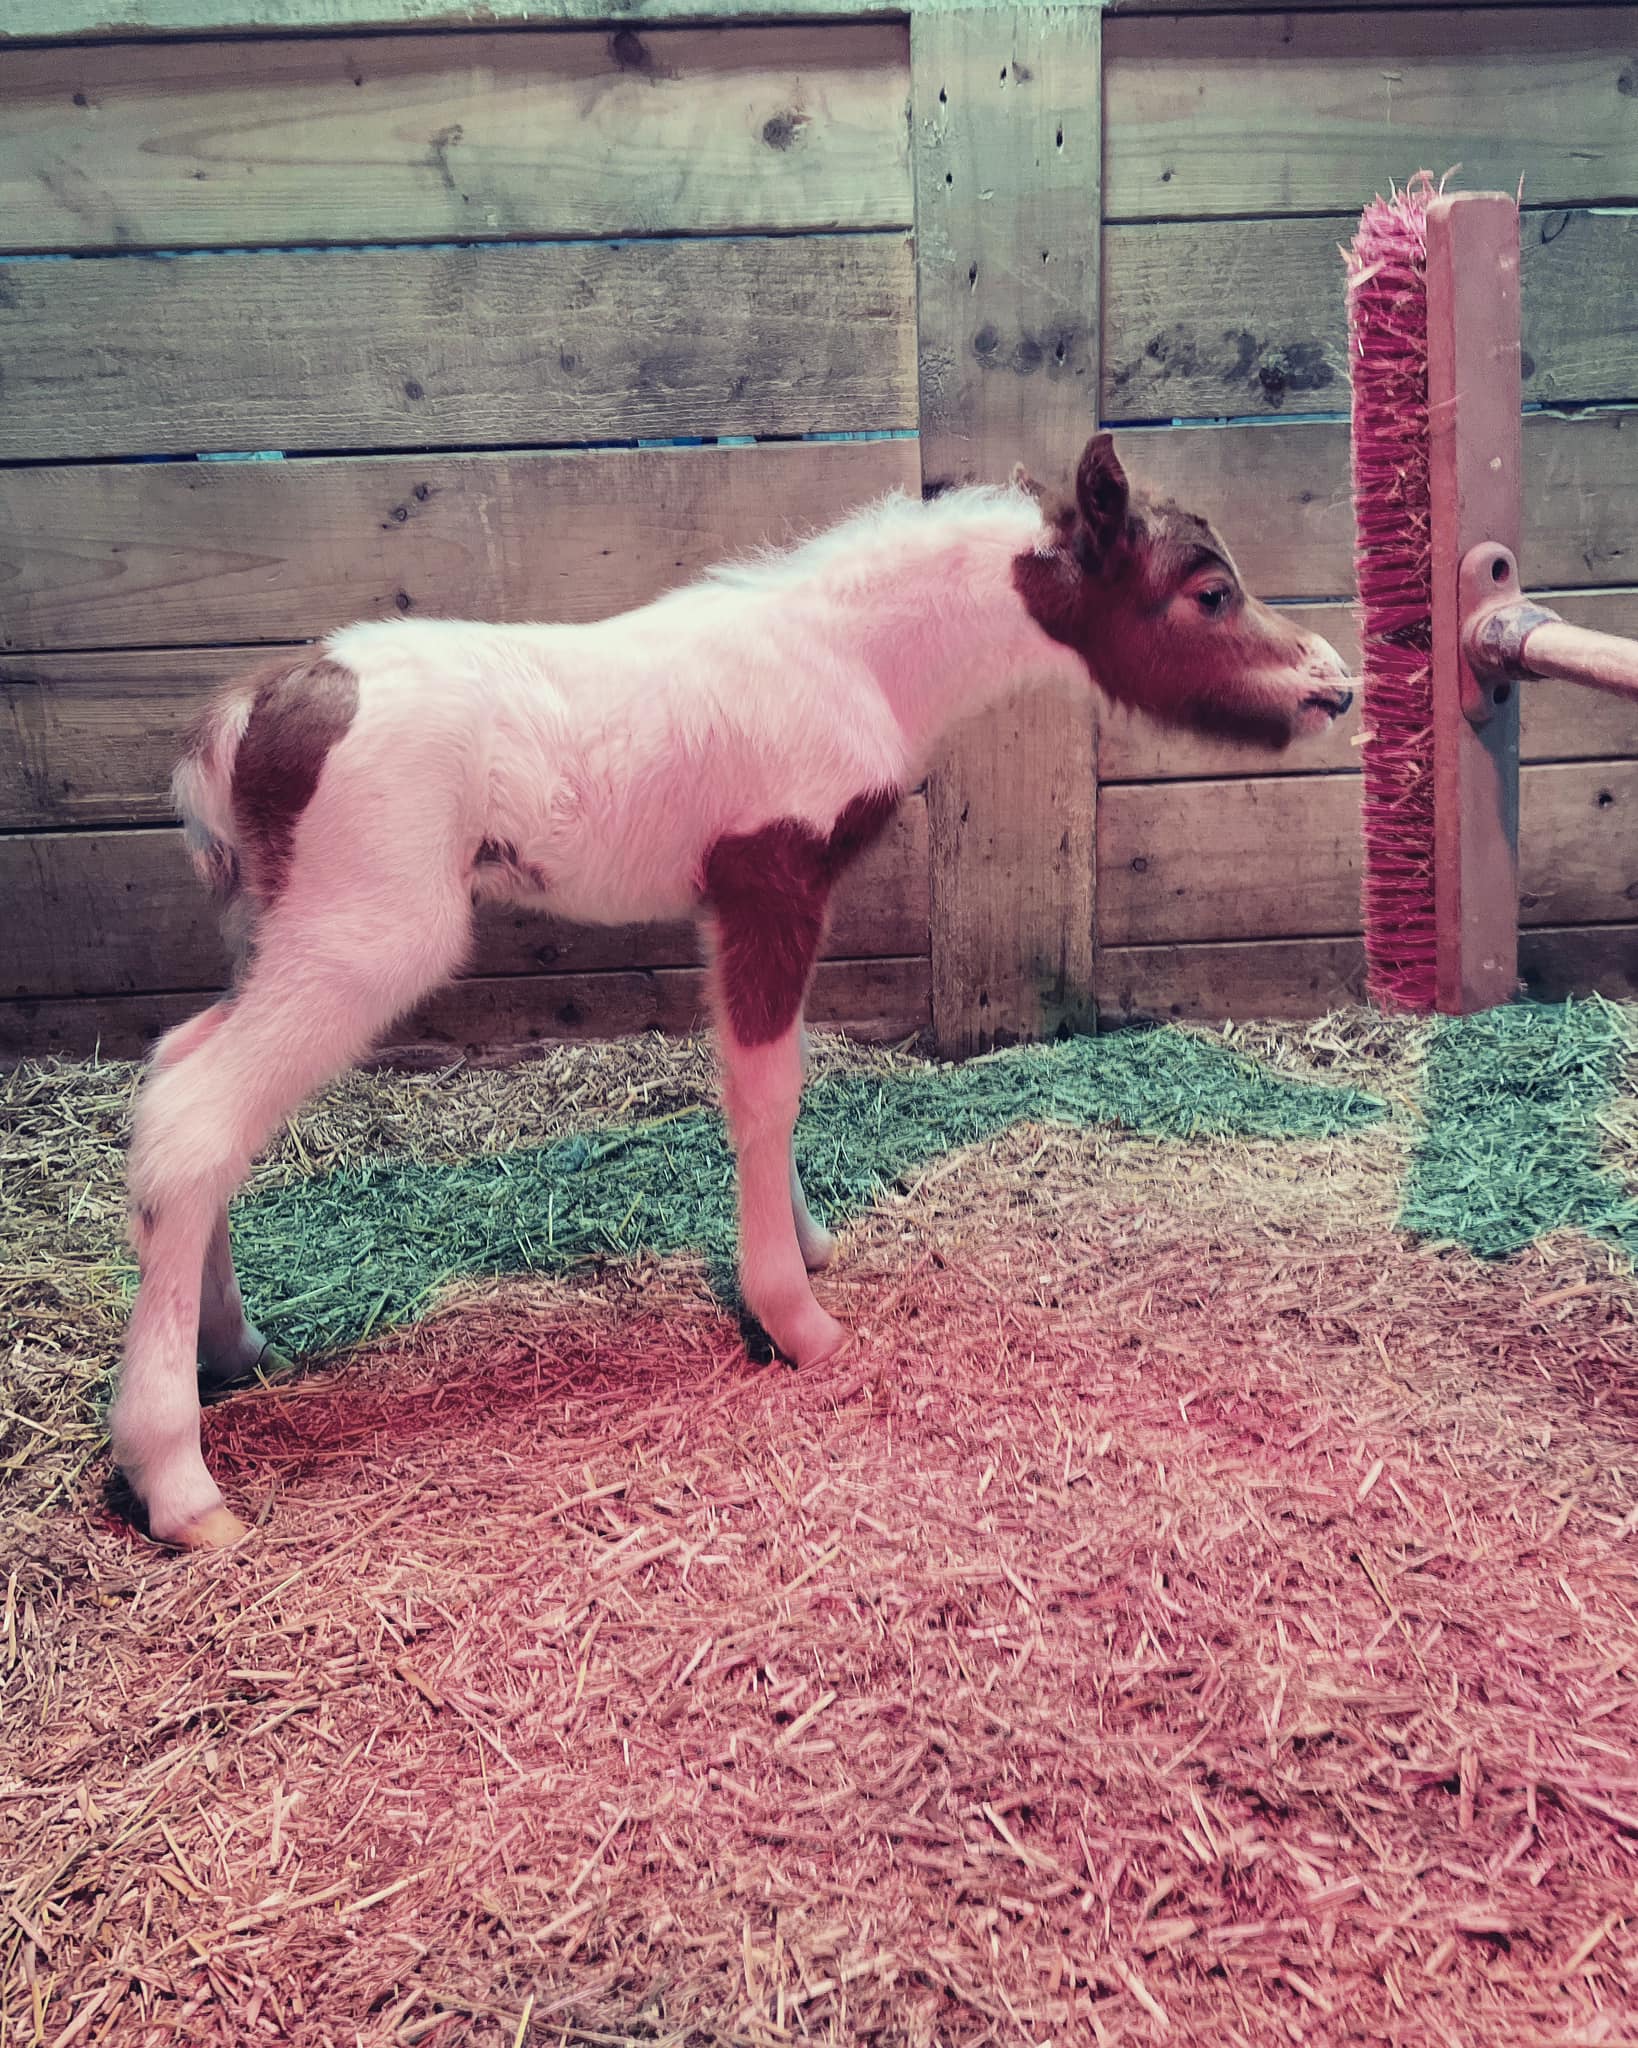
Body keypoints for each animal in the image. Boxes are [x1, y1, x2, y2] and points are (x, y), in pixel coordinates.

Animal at [111, 433, 1353, 1548]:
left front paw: (804, 1244)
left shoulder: (734, 903)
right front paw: (796, 1318)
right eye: (1209, 591)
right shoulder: (772, 880)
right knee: (196, 1117)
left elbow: (764, 1080)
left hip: (281, 932)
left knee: (181, 1072)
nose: (1333, 687)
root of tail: (245, 712)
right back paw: (179, 1481)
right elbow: (768, 1088)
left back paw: (229, 1347)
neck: (850, 654)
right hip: (369, 937)